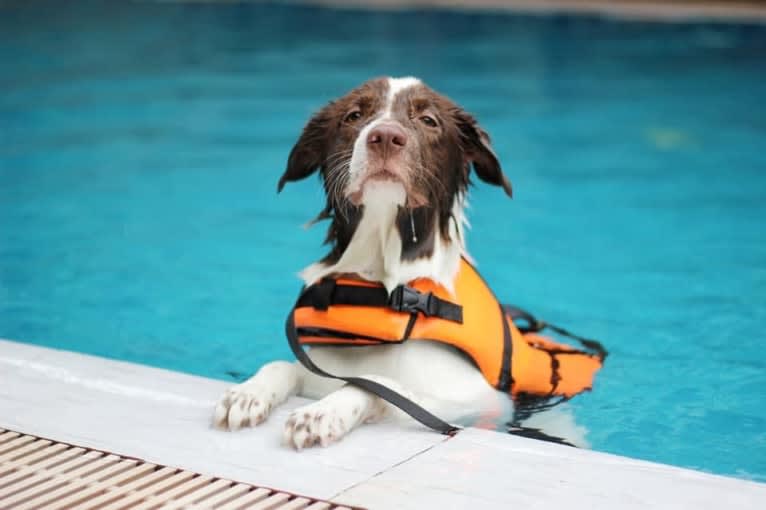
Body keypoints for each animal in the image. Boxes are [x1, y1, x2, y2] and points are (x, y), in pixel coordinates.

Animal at [212, 76, 588, 450]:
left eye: (429, 120)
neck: (381, 280)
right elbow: (282, 364)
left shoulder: (474, 400)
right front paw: (247, 394)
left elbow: (378, 384)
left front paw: (323, 412)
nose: (385, 136)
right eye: (353, 115)